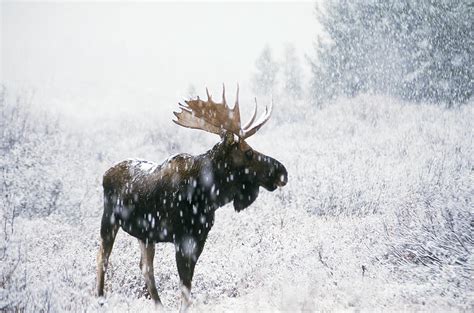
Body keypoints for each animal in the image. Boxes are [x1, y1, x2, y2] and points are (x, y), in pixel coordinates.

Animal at [96, 86, 286, 310]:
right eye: (247, 152)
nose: (282, 171)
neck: (209, 194)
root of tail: (105, 174)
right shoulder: (183, 237)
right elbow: (185, 287)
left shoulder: (200, 237)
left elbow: (187, 286)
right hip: (109, 220)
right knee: (103, 257)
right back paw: (99, 298)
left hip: (145, 235)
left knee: (146, 268)